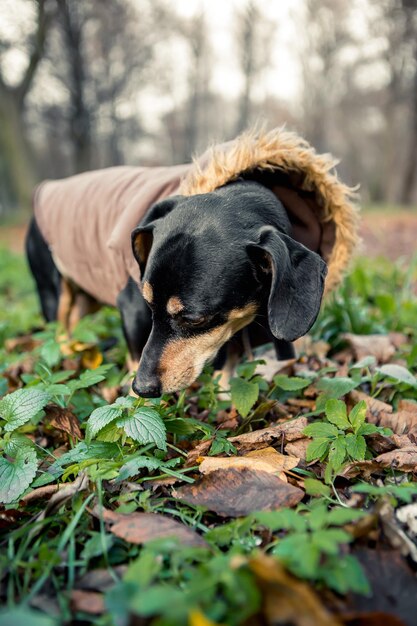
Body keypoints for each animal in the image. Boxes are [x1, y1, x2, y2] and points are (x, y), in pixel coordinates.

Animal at [26, 129, 358, 398]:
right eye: (149, 306)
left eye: (194, 320)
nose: (142, 388)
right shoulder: (132, 310)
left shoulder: (230, 325)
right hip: (53, 291)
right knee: (57, 329)